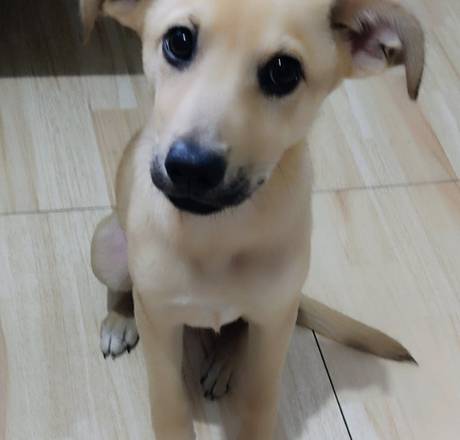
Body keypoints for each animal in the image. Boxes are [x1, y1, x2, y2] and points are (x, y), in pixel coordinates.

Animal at [82, 0, 424, 438]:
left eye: (283, 70)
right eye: (179, 41)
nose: (192, 169)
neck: (219, 233)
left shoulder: (275, 324)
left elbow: (260, 400)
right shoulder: (160, 325)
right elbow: (169, 405)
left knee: (239, 329)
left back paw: (225, 361)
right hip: (106, 245)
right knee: (122, 287)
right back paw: (120, 319)